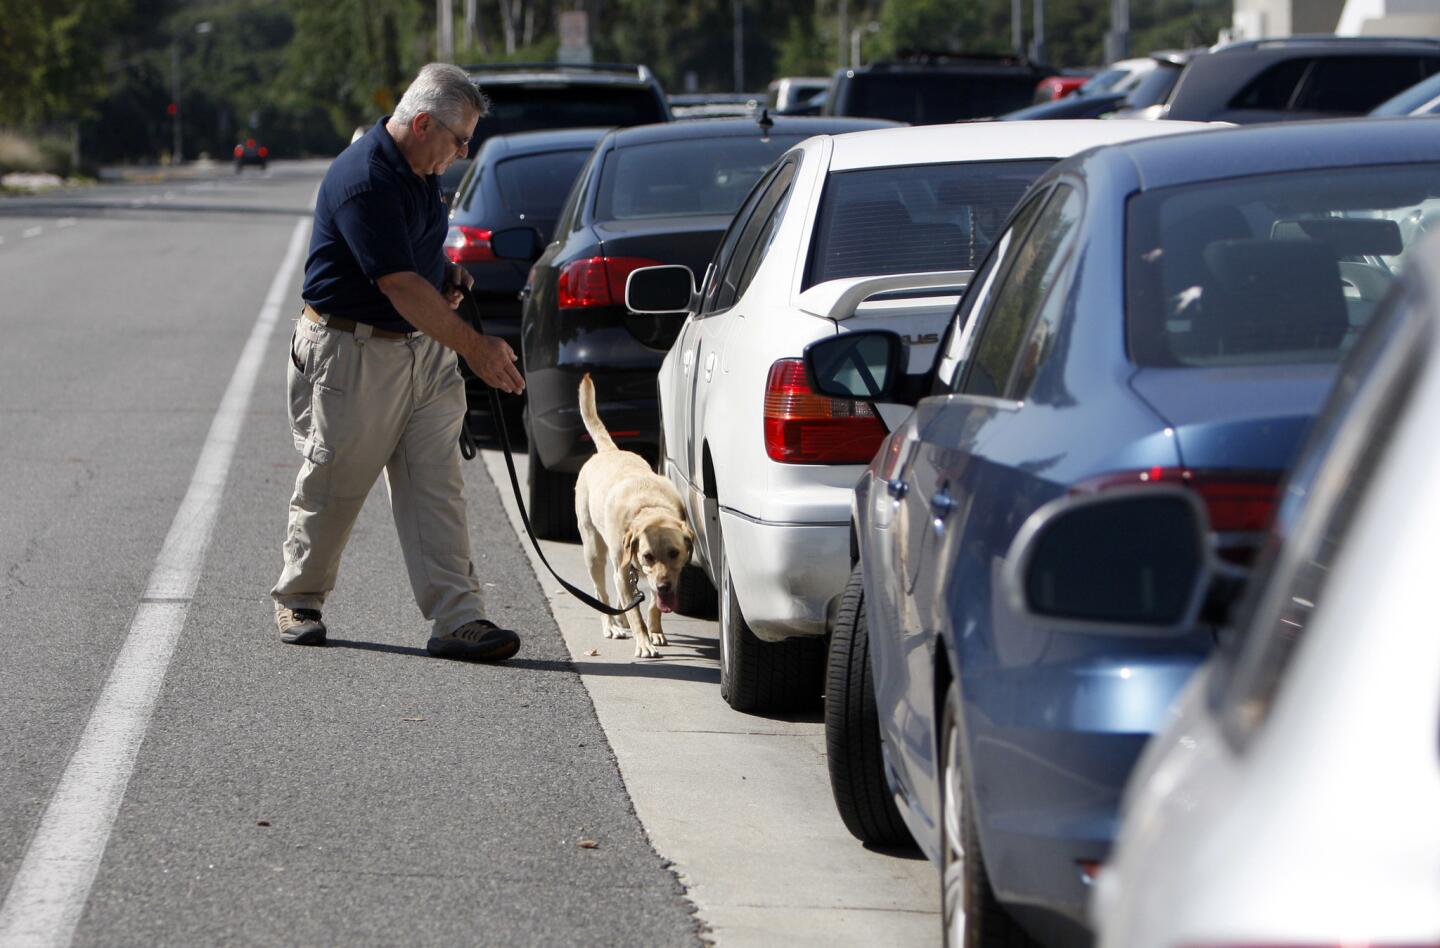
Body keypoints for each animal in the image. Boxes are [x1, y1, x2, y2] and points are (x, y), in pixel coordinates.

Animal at [573, 371, 691, 654]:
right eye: (648, 555)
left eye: (674, 553)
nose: (663, 585)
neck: (649, 508)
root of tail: (609, 451)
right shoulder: (625, 570)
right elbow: (636, 613)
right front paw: (644, 642)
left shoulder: (669, 574)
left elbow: (651, 606)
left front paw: (655, 631)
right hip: (594, 550)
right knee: (601, 592)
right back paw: (612, 626)